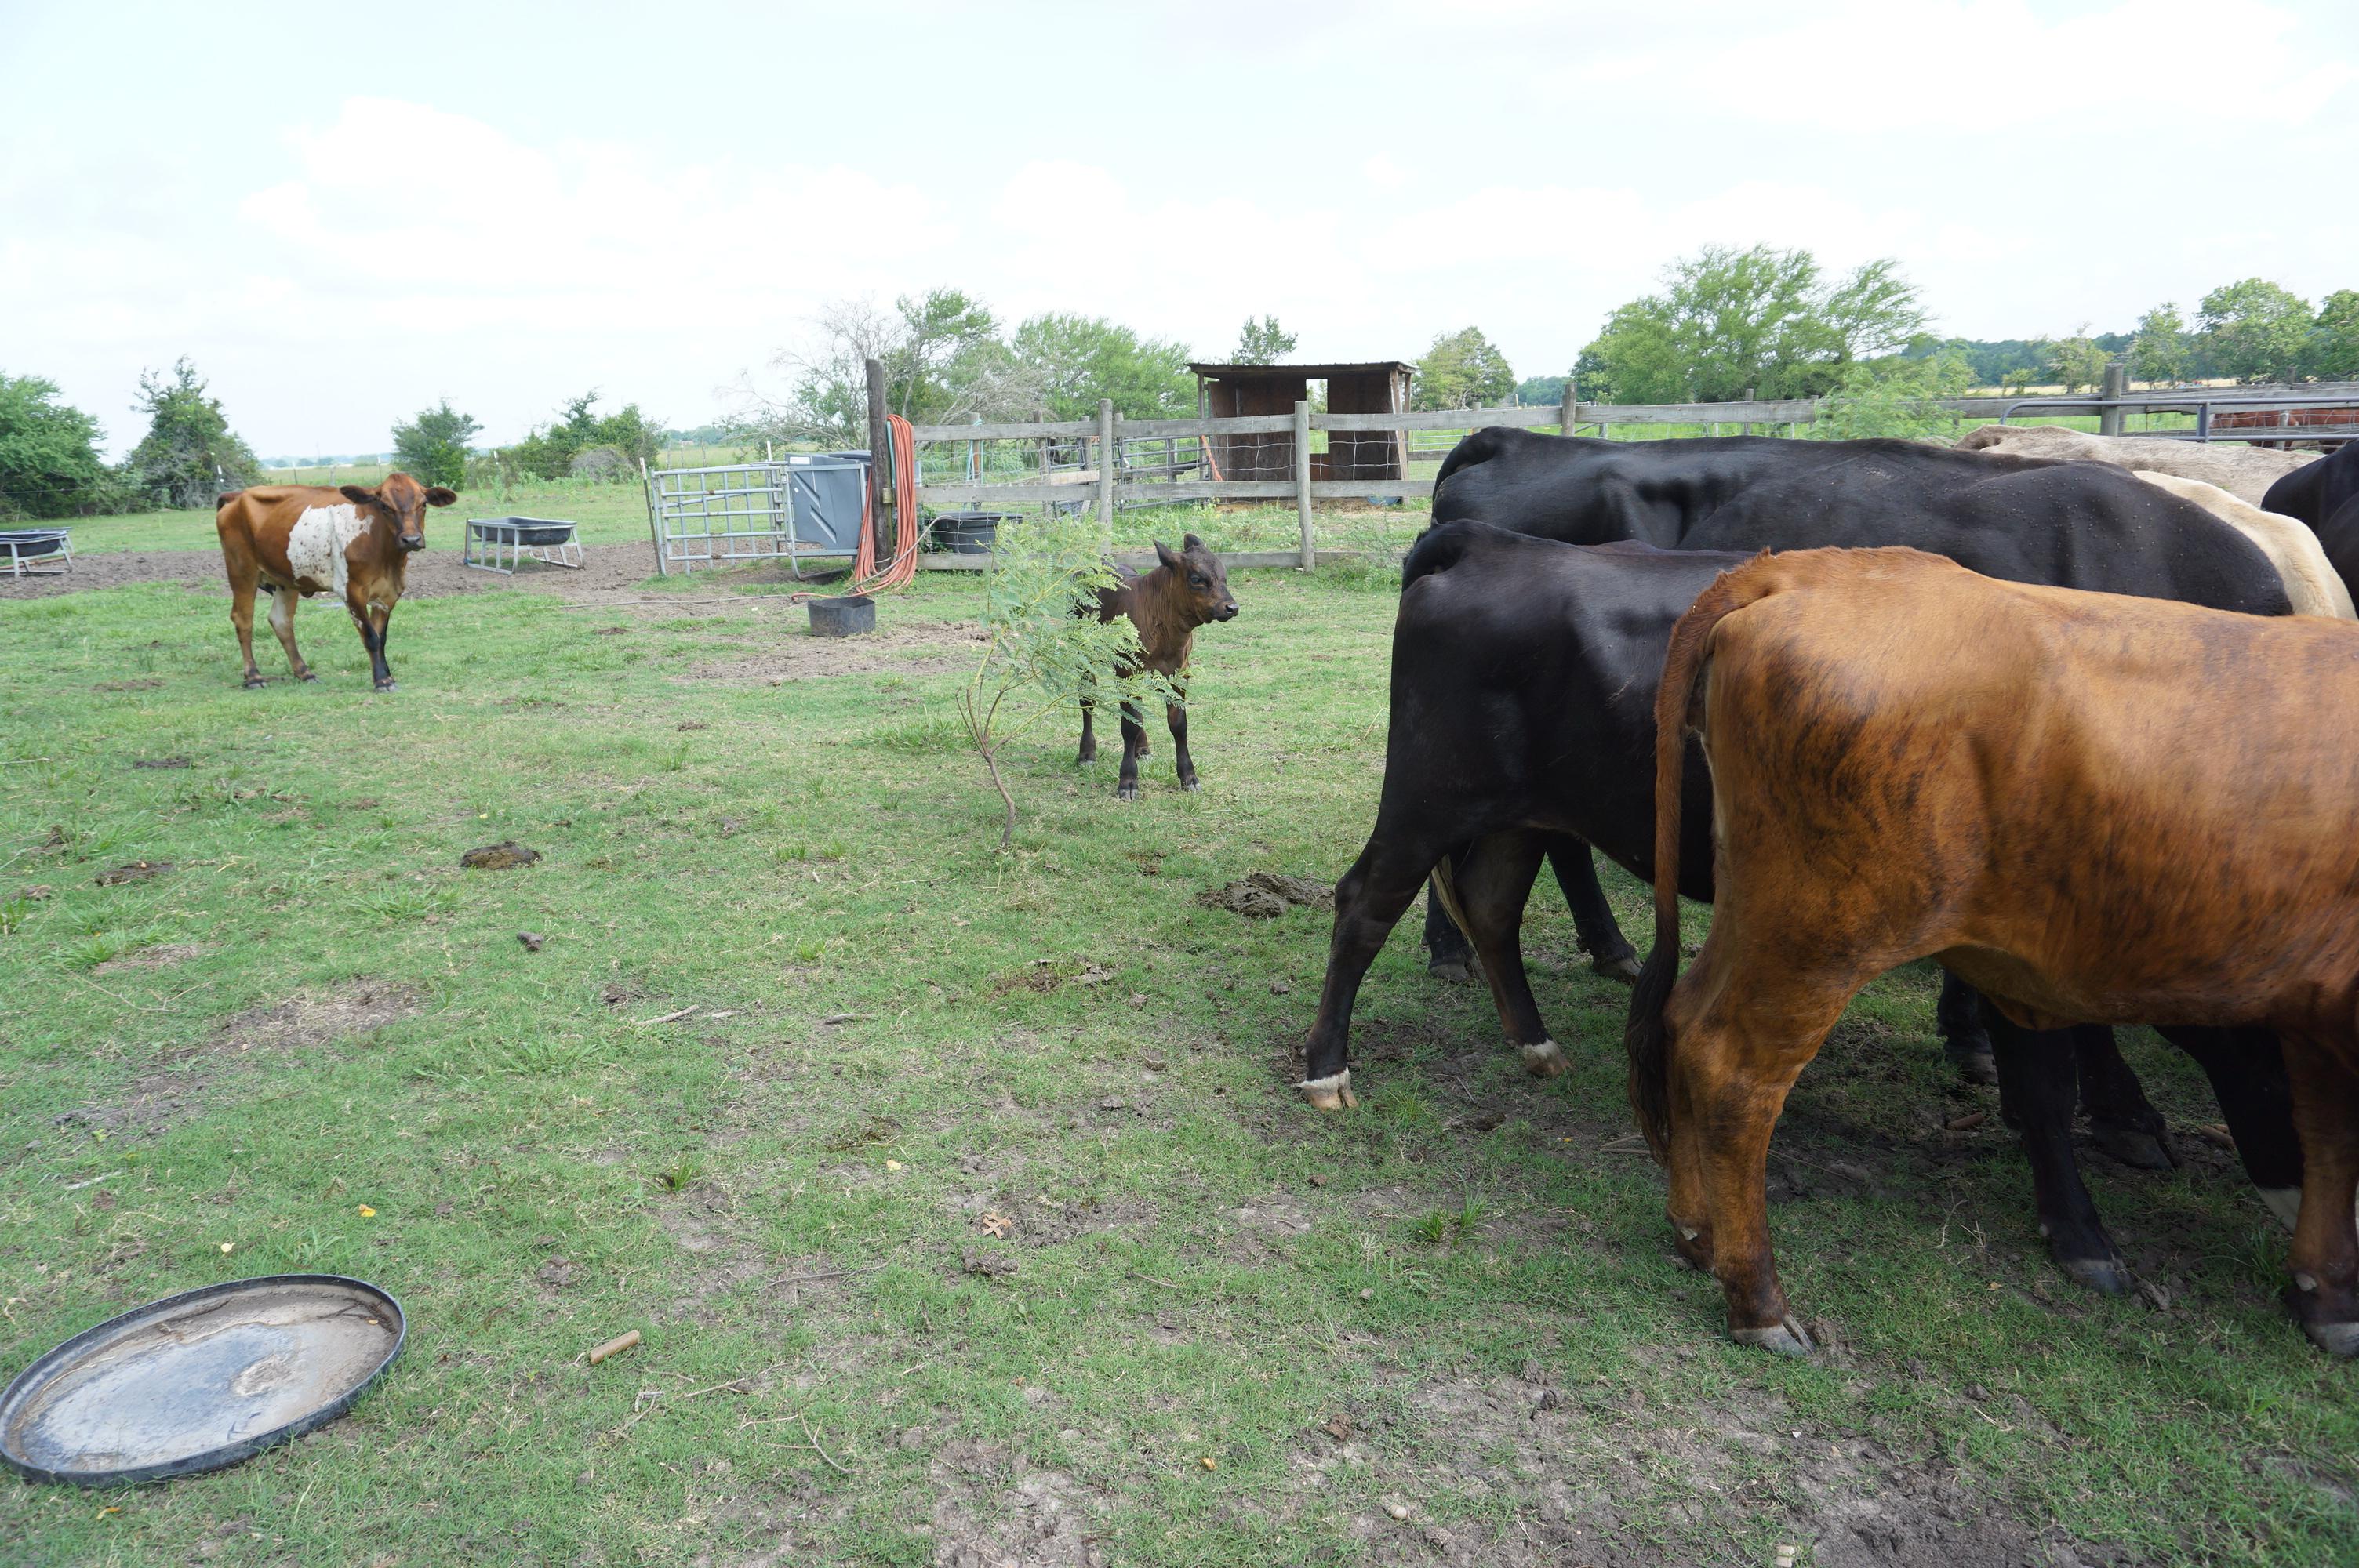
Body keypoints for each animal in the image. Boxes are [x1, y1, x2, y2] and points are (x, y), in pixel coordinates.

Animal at [213, 474, 455, 688]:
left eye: (423, 504)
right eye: (384, 505)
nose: (411, 539)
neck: (386, 555)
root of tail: (237, 496)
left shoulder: (388, 595)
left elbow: (381, 638)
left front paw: (387, 676)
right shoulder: (351, 591)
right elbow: (371, 638)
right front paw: (382, 681)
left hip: (286, 579)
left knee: (281, 621)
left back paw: (304, 673)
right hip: (242, 571)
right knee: (243, 621)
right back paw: (253, 677)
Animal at [1080, 535, 1245, 801]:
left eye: (1224, 576)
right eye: (1196, 579)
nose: (1232, 607)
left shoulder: (1180, 670)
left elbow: (1178, 723)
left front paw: (1189, 777)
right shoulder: (1128, 669)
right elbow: (1129, 724)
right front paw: (1128, 781)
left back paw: (1142, 748)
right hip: (1083, 654)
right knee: (1087, 699)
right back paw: (1086, 753)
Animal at [1311, 518, 2321, 1292]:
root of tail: (1493, 542)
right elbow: (2046, 1077)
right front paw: (2081, 1228)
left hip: (1522, 809)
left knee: (1490, 905)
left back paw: (1533, 1041)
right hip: (1429, 792)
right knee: (1365, 904)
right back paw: (1327, 1068)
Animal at [1632, 549, 2359, 1358]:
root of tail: (1800, 570)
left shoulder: (2317, 1018)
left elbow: (2328, 1138)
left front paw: (2328, 1293)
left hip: (1761, 909)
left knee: (1682, 1021)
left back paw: (1697, 1233)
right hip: (1821, 932)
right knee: (1733, 1071)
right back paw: (1757, 1299)